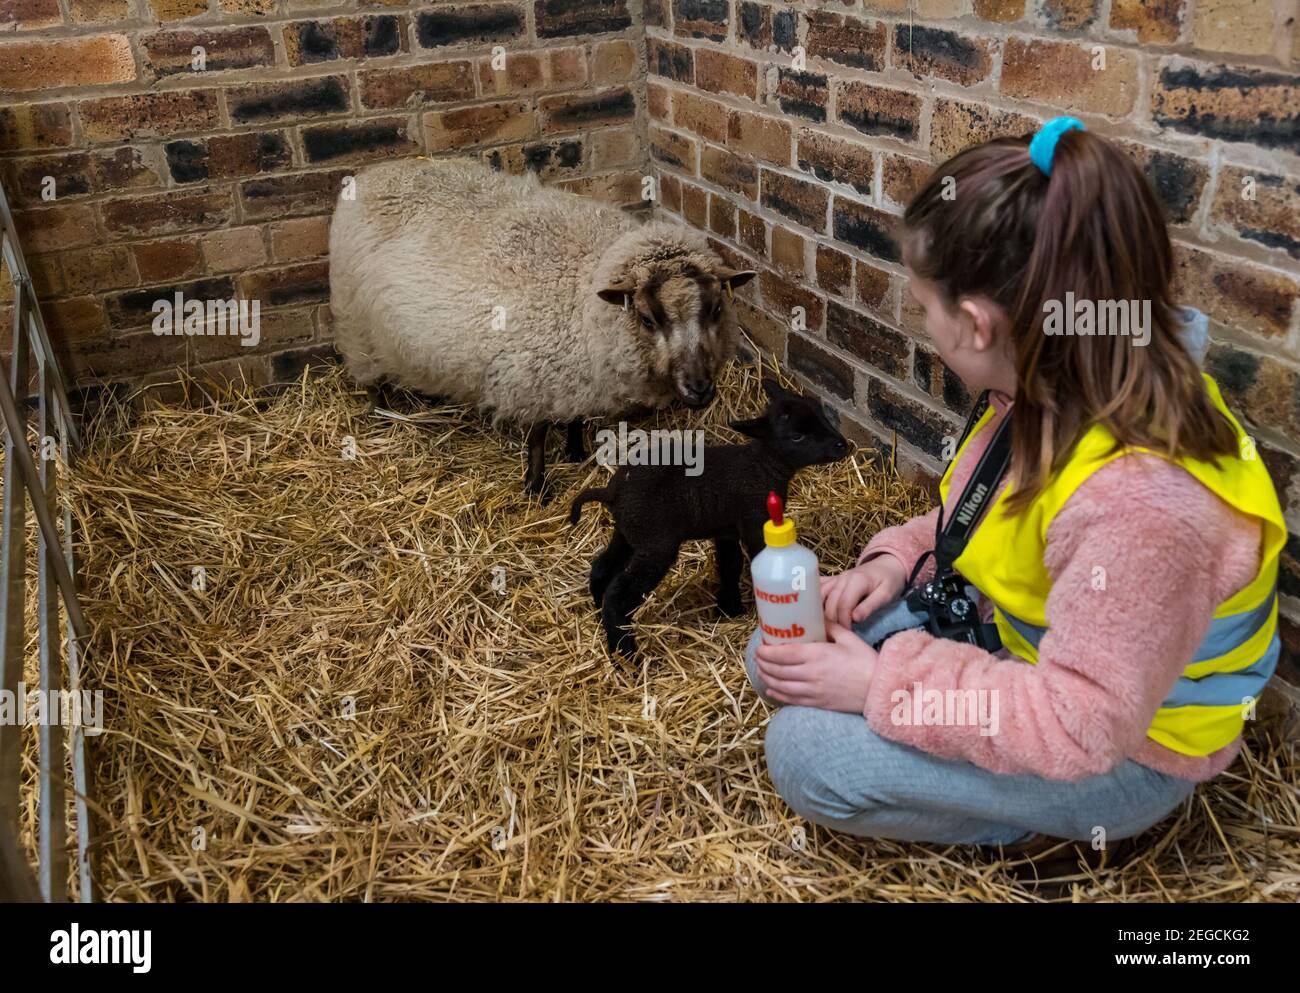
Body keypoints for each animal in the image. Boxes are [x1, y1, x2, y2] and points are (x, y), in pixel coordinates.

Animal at [328, 156, 757, 496]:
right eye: (648, 318)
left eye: (716, 309)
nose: (700, 389)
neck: (585, 287)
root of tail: (374, 172)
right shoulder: (532, 376)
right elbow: (537, 437)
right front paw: (536, 487)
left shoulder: (572, 371)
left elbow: (574, 417)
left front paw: (575, 451)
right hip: (356, 324)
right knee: (370, 379)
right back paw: (383, 417)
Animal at [569, 379, 851, 658]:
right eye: (797, 436)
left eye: (821, 412)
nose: (843, 445)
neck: (763, 464)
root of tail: (612, 491)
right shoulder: (754, 521)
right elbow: (751, 559)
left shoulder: (725, 529)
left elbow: (730, 565)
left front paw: (729, 608)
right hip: (655, 543)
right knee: (618, 594)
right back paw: (626, 653)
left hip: (629, 532)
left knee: (601, 568)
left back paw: (599, 616)